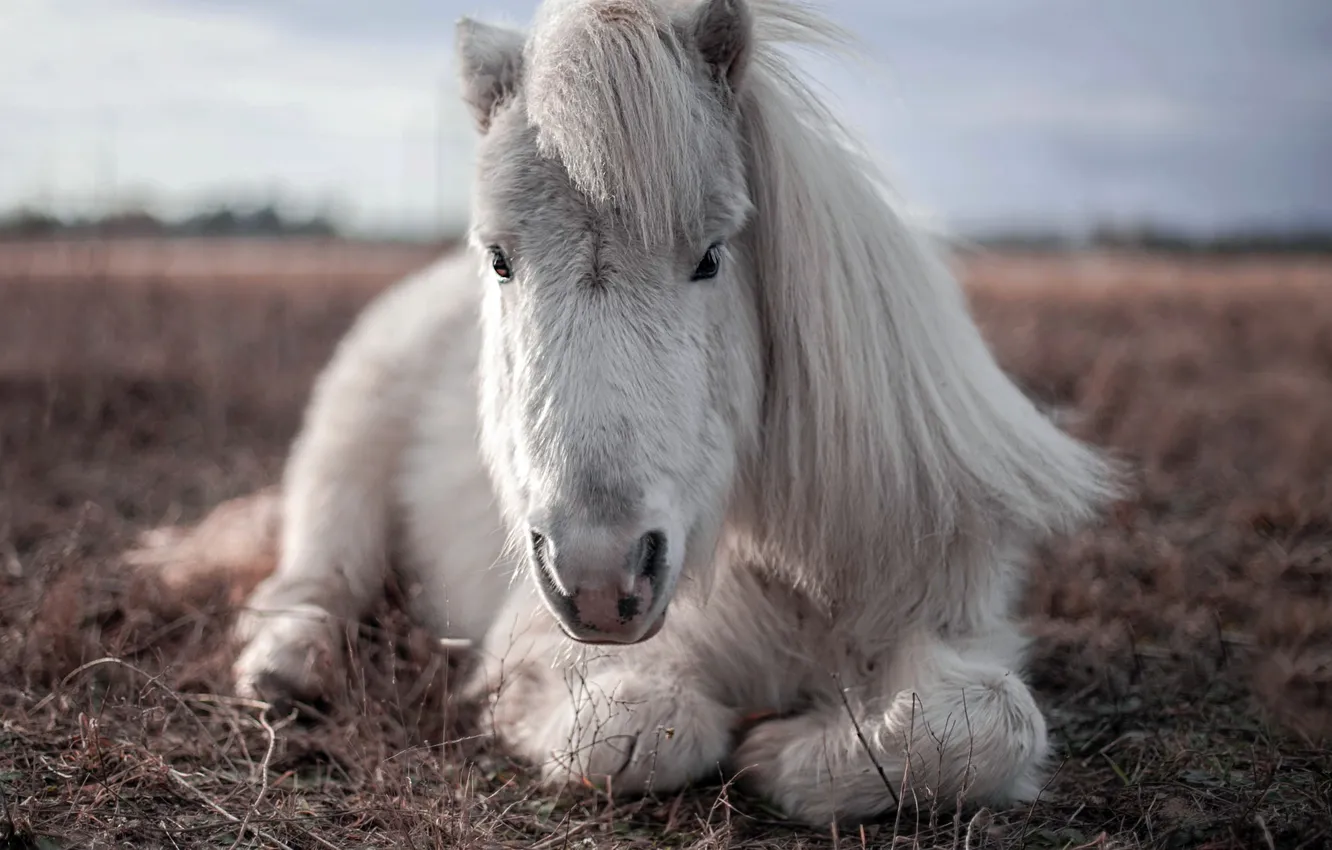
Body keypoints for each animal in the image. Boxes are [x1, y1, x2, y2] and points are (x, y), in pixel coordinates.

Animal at [125, 0, 1121, 827]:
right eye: (500, 259)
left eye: (712, 255)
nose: (599, 578)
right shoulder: (543, 653)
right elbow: (647, 731)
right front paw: (768, 748)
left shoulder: (958, 618)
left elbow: (985, 725)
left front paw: (798, 755)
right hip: (344, 456)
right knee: (313, 579)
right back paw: (284, 670)